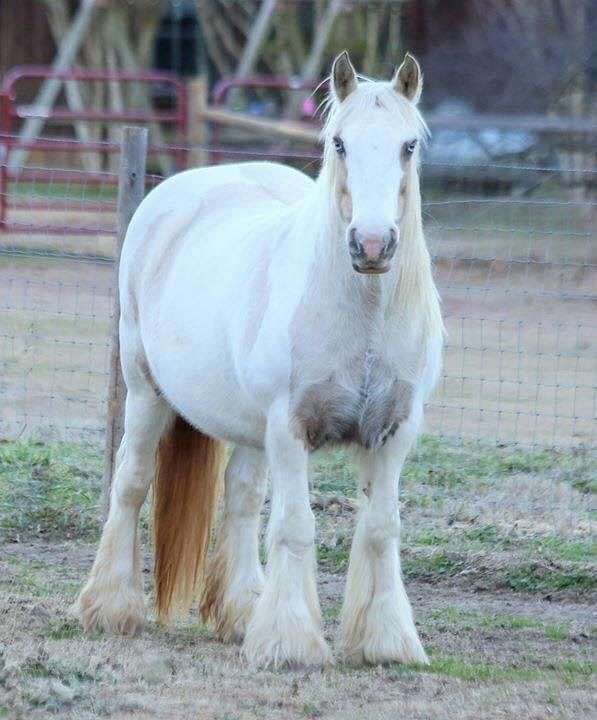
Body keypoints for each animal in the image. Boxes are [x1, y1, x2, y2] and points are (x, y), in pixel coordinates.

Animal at [74, 52, 442, 668]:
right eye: (340, 143)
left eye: (408, 145)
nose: (371, 245)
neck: (363, 316)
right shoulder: (290, 427)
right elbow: (296, 526)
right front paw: (292, 643)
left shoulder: (395, 429)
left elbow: (380, 528)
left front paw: (386, 640)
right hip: (147, 393)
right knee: (131, 482)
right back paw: (110, 607)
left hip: (248, 427)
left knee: (242, 499)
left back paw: (243, 613)